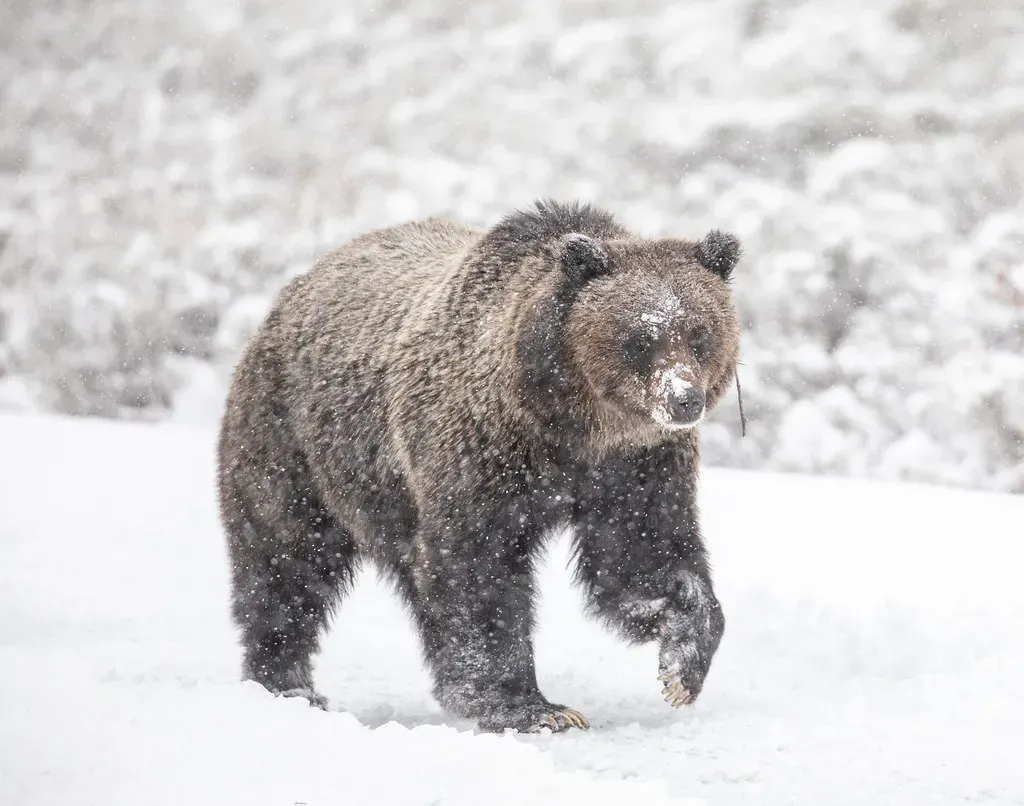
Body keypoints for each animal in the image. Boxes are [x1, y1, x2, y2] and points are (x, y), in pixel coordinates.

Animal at [216, 199, 742, 733]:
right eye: (640, 338)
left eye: (699, 333)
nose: (684, 399)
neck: (570, 427)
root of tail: (294, 288)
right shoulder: (481, 451)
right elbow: (479, 568)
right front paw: (530, 706)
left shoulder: (636, 468)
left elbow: (645, 554)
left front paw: (682, 665)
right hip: (296, 444)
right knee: (286, 561)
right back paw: (288, 684)